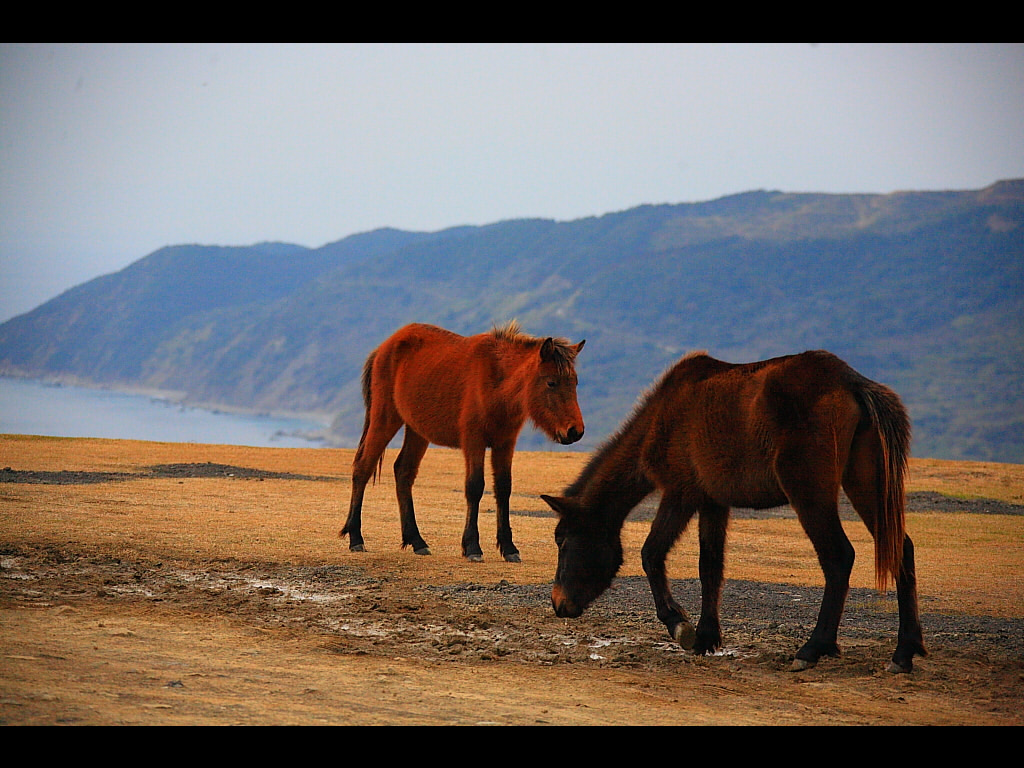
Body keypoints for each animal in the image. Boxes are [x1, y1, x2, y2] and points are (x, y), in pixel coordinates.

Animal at [342, 321, 585, 561]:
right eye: (551, 382)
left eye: (574, 382)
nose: (575, 431)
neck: (496, 382)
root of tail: (383, 348)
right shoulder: (474, 442)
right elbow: (475, 487)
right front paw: (472, 547)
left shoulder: (504, 444)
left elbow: (503, 488)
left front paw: (509, 547)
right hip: (385, 418)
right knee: (363, 468)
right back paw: (356, 537)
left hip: (416, 431)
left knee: (403, 472)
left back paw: (417, 541)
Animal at [544, 348, 929, 671]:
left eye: (563, 540)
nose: (558, 603)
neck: (662, 417)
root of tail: (851, 381)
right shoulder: (713, 502)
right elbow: (710, 566)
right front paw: (706, 637)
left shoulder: (680, 494)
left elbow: (651, 554)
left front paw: (679, 625)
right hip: (865, 485)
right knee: (901, 549)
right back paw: (904, 651)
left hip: (811, 494)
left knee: (839, 557)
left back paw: (813, 648)